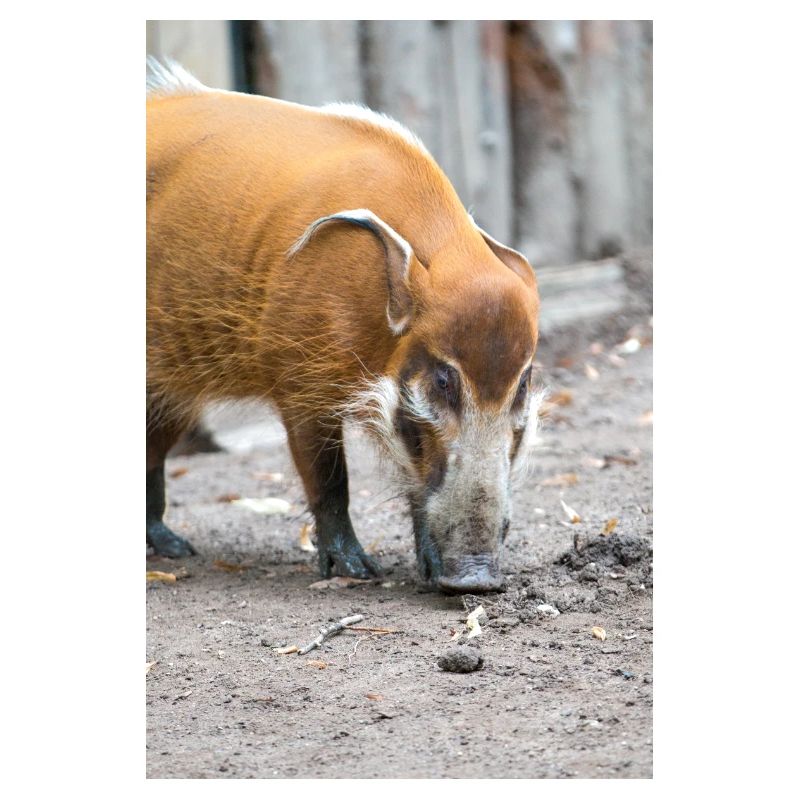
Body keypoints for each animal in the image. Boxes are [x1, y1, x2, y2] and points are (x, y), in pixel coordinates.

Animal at [146, 59, 542, 592]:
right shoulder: (299, 383)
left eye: (522, 385)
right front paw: (357, 571)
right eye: (443, 379)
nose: (475, 578)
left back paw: (173, 546)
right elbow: (329, 479)